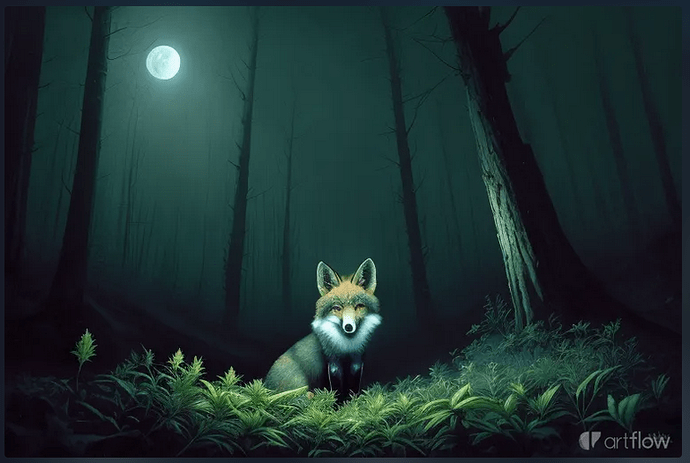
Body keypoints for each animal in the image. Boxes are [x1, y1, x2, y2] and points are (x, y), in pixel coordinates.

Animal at [264, 258, 382, 398]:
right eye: (337, 308)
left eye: (359, 306)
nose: (348, 327)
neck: (346, 346)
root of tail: (265, 387)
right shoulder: (333, 363)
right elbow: (337, 391)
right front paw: (337, 404)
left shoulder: (357, 362)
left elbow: (353, 389)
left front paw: (353, 401)